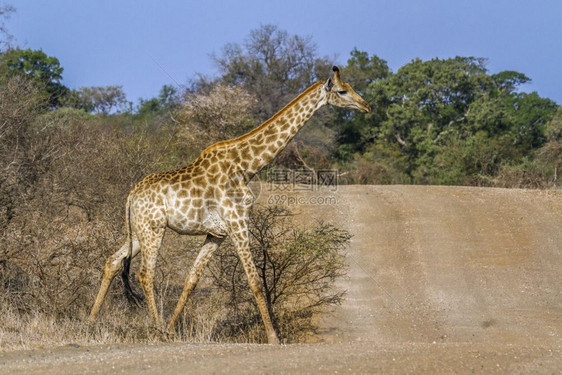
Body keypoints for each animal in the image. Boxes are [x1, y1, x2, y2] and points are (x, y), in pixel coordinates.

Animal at [88, 65, 368, 344]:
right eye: (342, 91)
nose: (365, 105)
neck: (247, 167)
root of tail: (131, 195)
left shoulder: (217, 233)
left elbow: (192, 279)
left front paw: (172, 328)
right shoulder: (238, 222)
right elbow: (254, 281)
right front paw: (273, 337)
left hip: (138, 231)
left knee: (113, 262)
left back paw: (92, 323)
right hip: (153, 228)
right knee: (145, 273)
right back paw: (154, 328)